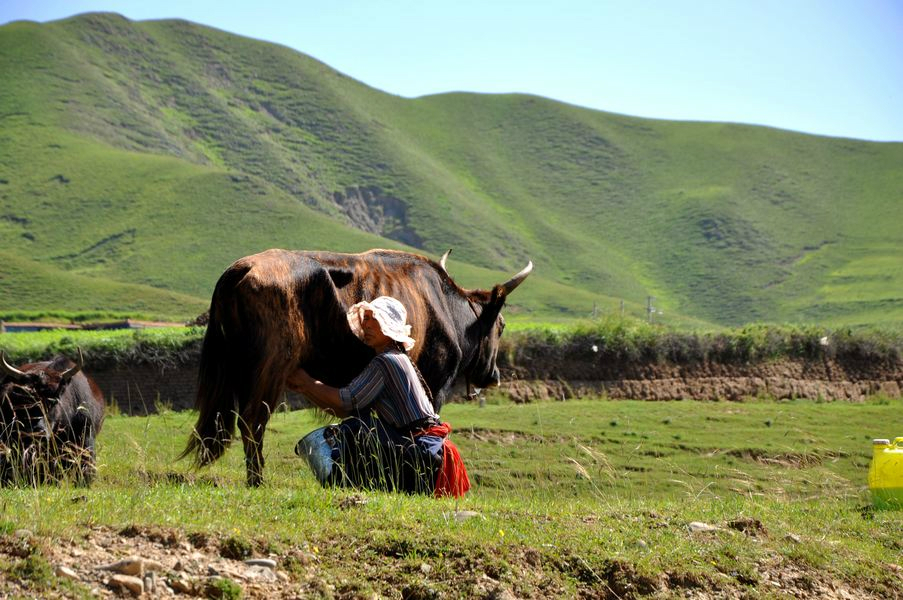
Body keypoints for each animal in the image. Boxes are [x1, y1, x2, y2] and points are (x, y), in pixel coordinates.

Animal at [182, 248, 528, 488]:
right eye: (501, 325)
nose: (493, 376)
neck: (444, 307)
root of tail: (241, 268)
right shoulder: (435, 382)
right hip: (269, 369)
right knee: (253, 420)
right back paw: (257, 480)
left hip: (236, 371)